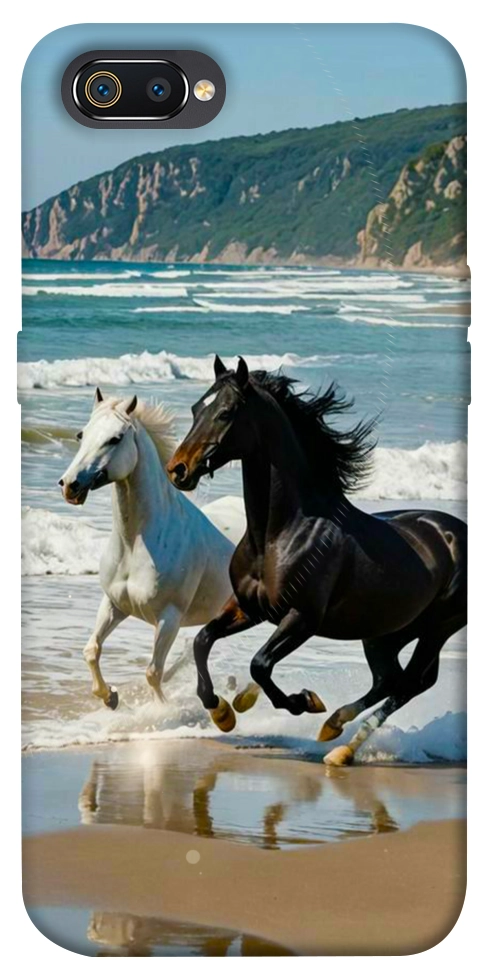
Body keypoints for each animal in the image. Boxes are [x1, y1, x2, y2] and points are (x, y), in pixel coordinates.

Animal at [59, 387, 234, 709]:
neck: (135, 544)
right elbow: (91, 650)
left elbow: (153, 672)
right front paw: (110, 697)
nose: (70, 485)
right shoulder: (114, 604)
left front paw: (161, 711)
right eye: (81, 434)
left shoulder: (169, 617)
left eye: (115, 438)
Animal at [166, 356, 467, 765]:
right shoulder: (249, 608)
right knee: (390, 679)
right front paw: (223, 712)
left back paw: (340, 746)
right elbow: (202, 640)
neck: (280, 534)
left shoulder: (302, 618)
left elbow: (260, 664)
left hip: (437, 628)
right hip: (386, 632)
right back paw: (334, 728)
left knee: (410, 683)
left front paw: (303, 702)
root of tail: (457, 532)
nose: (178, 469)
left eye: (226, 412)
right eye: (197, 408)